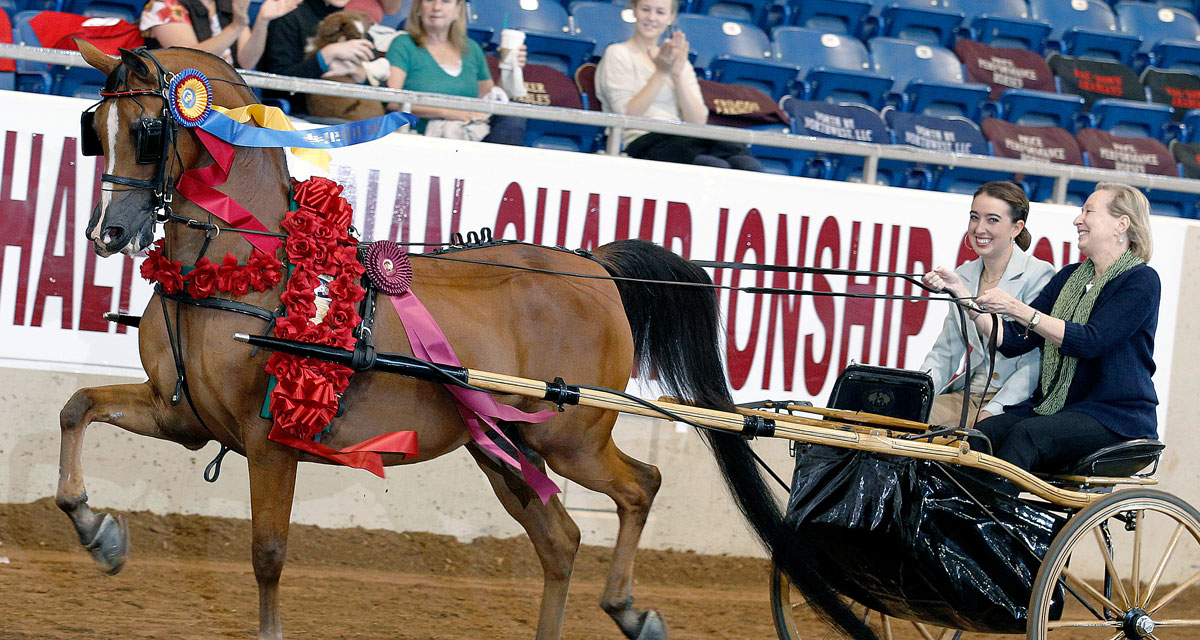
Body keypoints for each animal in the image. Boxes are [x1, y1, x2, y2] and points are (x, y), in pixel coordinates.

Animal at [63, 42, 873, 633]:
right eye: (94, 132)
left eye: (149, 132)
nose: (107, 233)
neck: (239, 271)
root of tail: (594, 266)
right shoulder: (182, 417)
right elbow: (78, 408)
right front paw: (98, 533)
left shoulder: (271, 440)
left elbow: (267, 555)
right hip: (503, 446)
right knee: (561, 539)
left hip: (567, 437)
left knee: (640, 487)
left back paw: (627, 608)